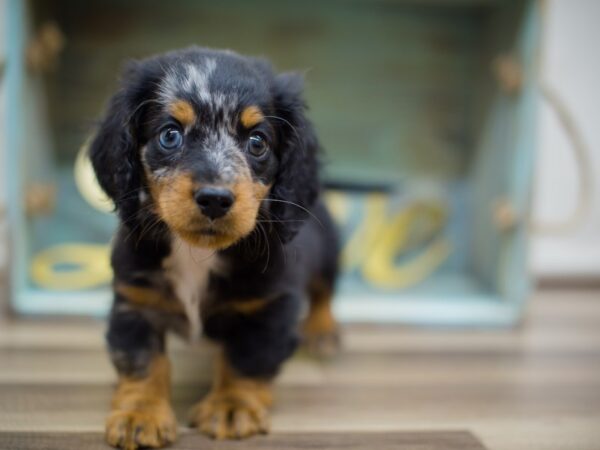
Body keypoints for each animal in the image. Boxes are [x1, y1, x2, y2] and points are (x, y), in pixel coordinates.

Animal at [90, 47, 342, 448]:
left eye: (258, 142)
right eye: (170, 135)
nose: (214, 199)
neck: (197, 254)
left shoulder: (269, 308)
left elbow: (246, 359)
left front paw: (231, 406)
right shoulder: (135, 303)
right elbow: (143, 361)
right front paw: (140, 413)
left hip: (329, 251)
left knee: (323, 292)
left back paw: (322, 331)